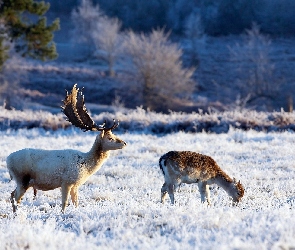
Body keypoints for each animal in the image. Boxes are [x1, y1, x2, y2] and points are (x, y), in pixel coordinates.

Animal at [6, 84, 127, 213]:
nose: (124, 143)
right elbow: (64, 203)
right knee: (16, 197)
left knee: (12, 194)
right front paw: (63, 214)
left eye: (113, 134)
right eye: (110, 138)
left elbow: (76, 203)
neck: (86, 166)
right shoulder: (66, 182)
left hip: (23, 182)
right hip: (22, 178)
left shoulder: (76, 185)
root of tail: (7, 160)